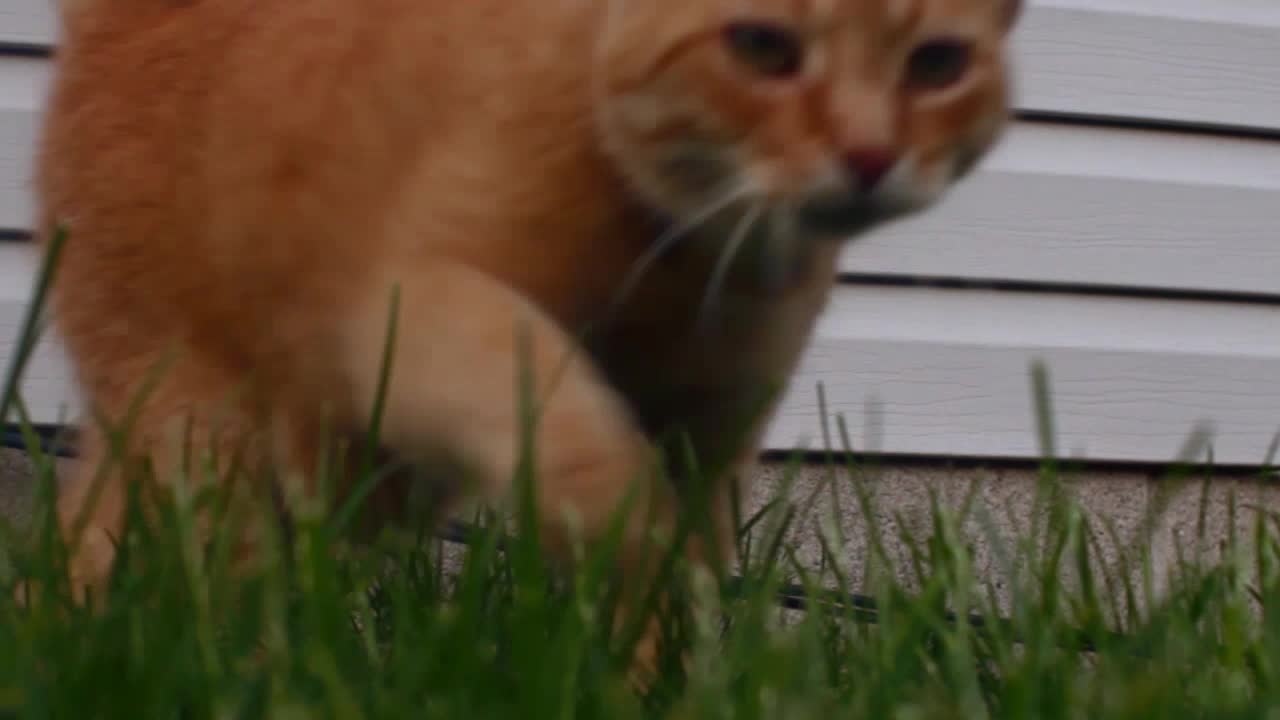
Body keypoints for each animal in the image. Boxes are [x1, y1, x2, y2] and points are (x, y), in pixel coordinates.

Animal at [32, 0, 1018, 666]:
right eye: (763, 47)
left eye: (937, 64)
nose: (869, 154)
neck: (678, 258)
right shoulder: (408, 311)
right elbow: (579, 435)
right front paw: (622, 531)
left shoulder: (713, 431)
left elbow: (682, 582)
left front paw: (655, 675)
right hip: (207, 427)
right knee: (149, 558)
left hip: (344, 471)